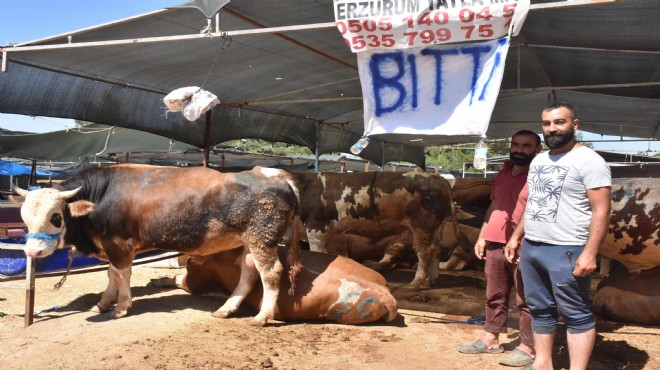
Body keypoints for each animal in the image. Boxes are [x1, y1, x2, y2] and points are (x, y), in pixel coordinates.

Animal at [14, 163, 302, 326]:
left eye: (56, 216)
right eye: (24, 217)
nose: (33, 250)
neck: (101, 196)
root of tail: (274, 174)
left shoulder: (120, 245)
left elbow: (122, 275)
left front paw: (121, 307)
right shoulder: (110, 247)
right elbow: (111, 275)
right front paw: (103, 303)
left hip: (262, 239)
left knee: (271, 273)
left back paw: (262, 317)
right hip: (247, 243)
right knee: (249, 272)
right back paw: (226, 309)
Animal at [292, 171, 456, 290]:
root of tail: (438, 178)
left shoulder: (316, 225)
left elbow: (317, 253)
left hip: (421, 225)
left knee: (424, 252)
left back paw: (415, 283)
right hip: (435, 228)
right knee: (436, 248)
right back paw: (431, 280)